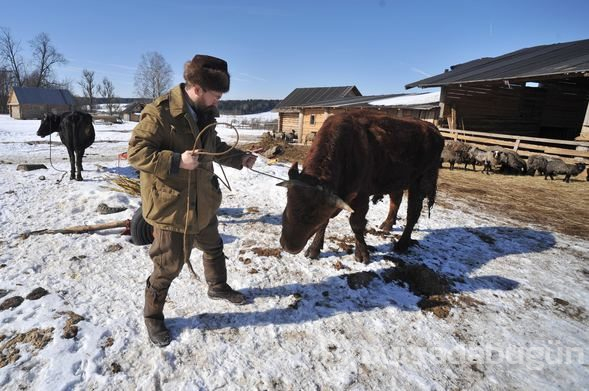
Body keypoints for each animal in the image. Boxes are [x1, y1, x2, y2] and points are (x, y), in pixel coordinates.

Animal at [276, 110, 440, 264]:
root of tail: (433, 129)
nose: (290, 247)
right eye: (288, 207)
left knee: (413, 212)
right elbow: (326, 223)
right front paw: (314, 250)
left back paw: (402, 244)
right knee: (396, 200)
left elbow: (356, 224)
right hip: (397, 180)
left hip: (421, 181)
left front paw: (362, 254)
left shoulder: (361, 196)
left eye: (313, 219)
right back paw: (387, 225)